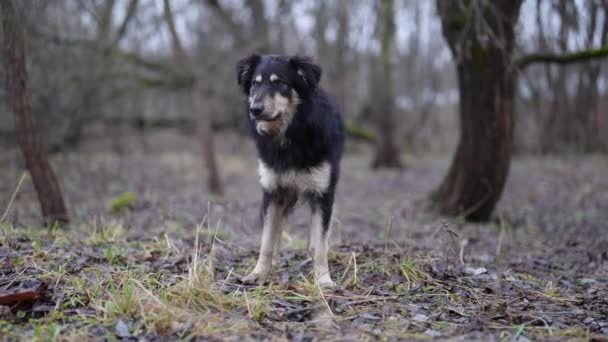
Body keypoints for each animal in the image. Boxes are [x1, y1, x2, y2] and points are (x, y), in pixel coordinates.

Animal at [236, 54, 344, 288]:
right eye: (255, 84)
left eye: (280, 83)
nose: (254, 109)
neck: (291, 134)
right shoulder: (272, 192)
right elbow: (267, 240)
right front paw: (258, 273)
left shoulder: (323, 194)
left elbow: (321, 244)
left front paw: (323, 280)